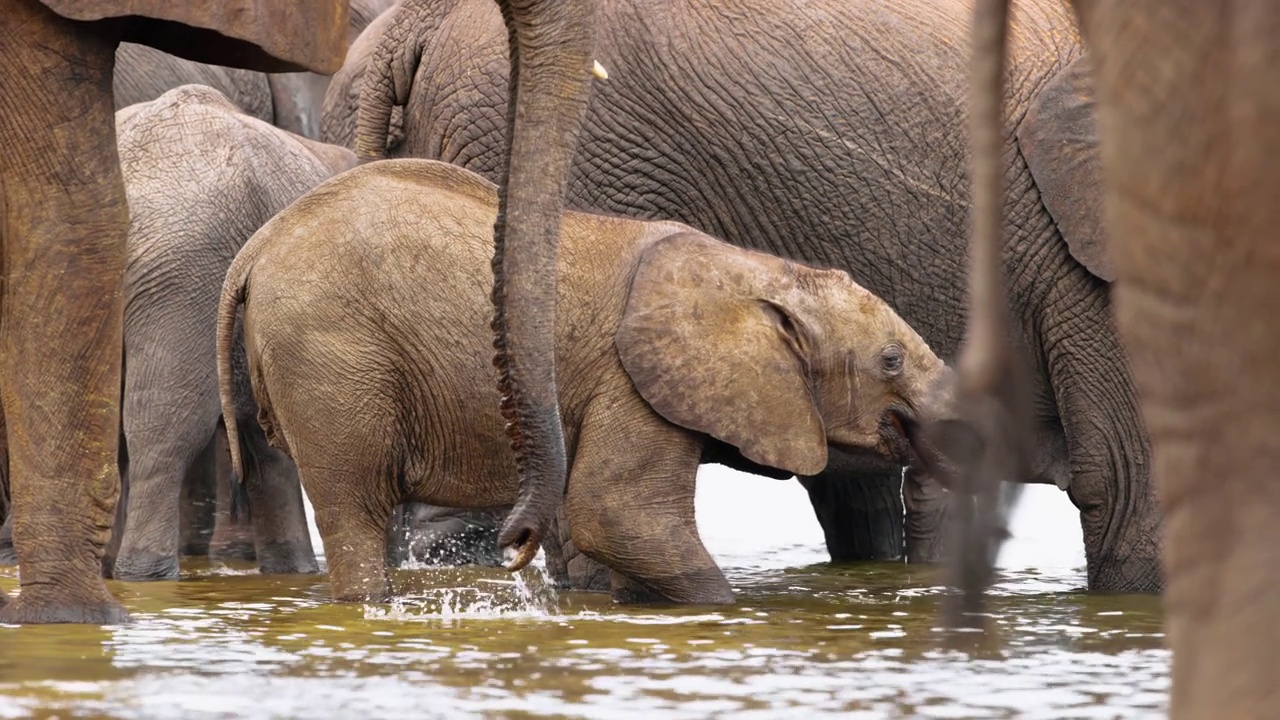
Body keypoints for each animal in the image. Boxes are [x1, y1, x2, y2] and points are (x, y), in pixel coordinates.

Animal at [217, 159, 952, 602]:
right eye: (891, 360)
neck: (760, 273)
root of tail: (255, 249)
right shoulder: (630, 381)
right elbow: (614, 512)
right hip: (332, 354)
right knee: (357, 508)